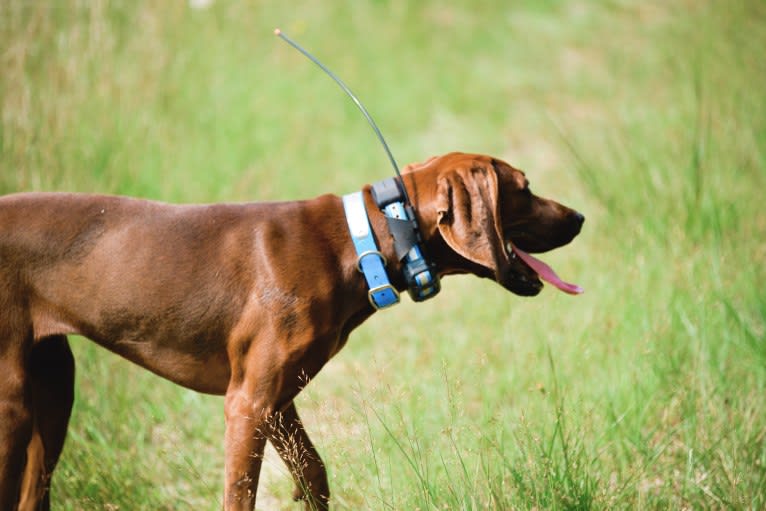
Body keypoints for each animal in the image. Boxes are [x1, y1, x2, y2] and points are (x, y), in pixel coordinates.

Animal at [0, 153, 584, 511]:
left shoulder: (279, 402)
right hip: (14, 403)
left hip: (55, 390)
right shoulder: (248, 404)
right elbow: (240, 495)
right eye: (524, 189)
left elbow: (315, 474)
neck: (361, 245)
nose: (580, 217)